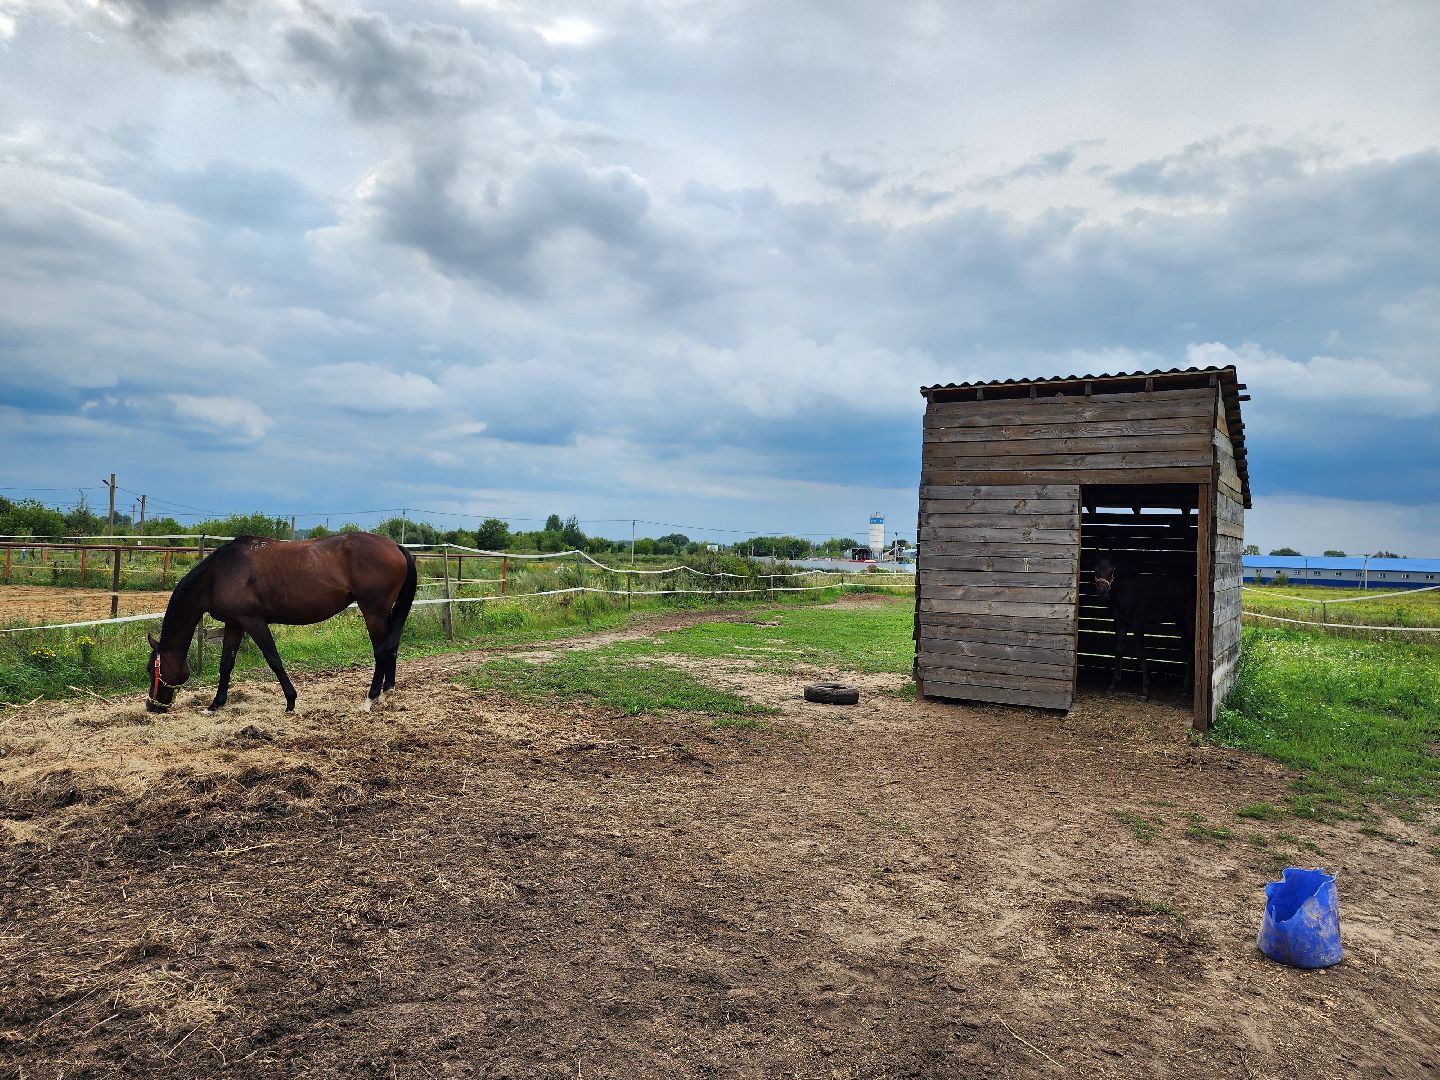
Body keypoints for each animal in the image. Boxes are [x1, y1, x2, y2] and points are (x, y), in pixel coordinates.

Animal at [145, 533, 417, 714]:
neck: (220, 573)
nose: (152, 705)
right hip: (384, 612)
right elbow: (226, 665)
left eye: (151, 669)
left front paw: (290, 701)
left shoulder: (253, 621)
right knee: (391, 648)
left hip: (373, 611)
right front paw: (215, 704)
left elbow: (273, 659)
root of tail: (395, 546)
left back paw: (370, 699)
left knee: (381, 651)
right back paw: (387, 694)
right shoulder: (235, 624)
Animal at [1092, 554, 1195, 703]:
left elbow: (1140, 652)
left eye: (1111, 571)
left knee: (1192, 649)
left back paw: (1186, 688)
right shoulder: (1121, 623)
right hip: (1180, 622)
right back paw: (1186, 688)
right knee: (1188, 650)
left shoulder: (1137, 624)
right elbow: (1119, 649)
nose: (1102, 592)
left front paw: (1145, 691)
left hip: (1190, 621)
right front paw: (1112, 685)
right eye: (1096, 570)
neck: (1125, 590)